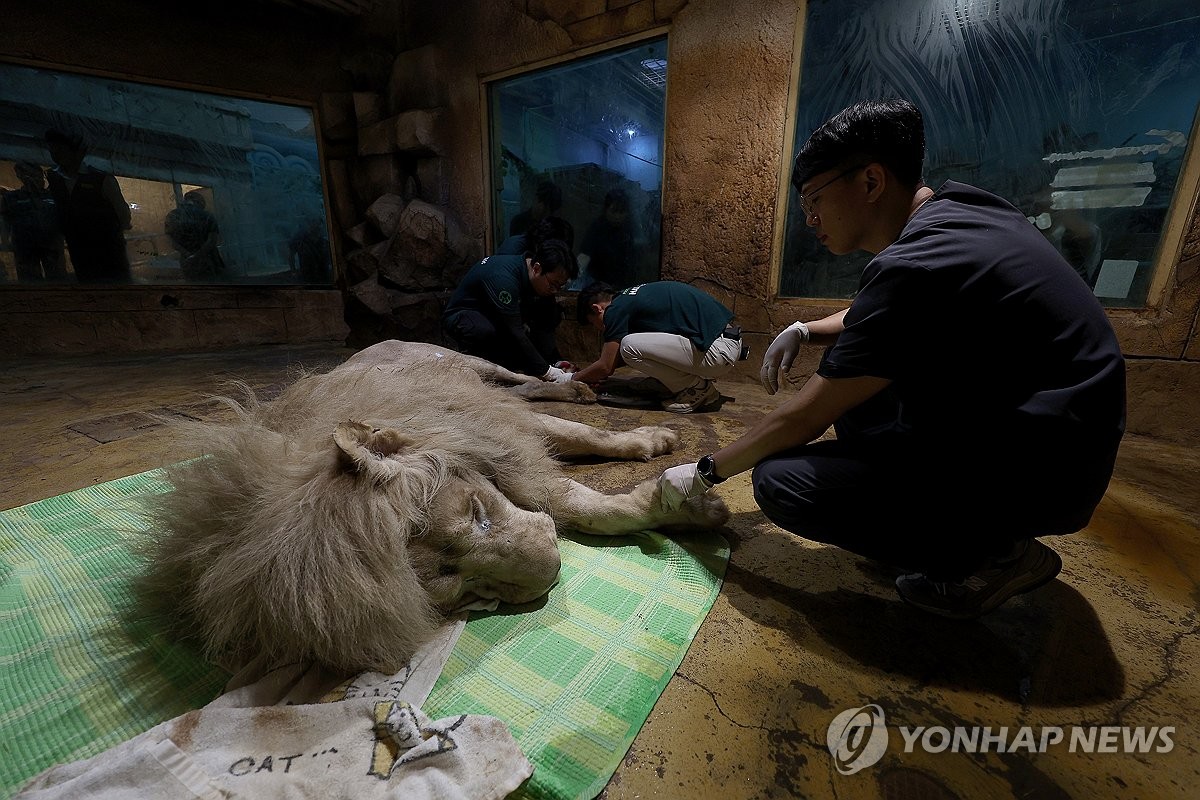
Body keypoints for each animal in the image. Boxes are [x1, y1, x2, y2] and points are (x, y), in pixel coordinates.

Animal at [136, 338, 724, 676]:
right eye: (463, 586)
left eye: (479, 512)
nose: (554, 570)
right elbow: (568, 498)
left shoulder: (484, 420)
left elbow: (578, 453)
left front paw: (652, 447)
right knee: (528, 387)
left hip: (469, 361)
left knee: (521, 377)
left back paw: (578, 387)